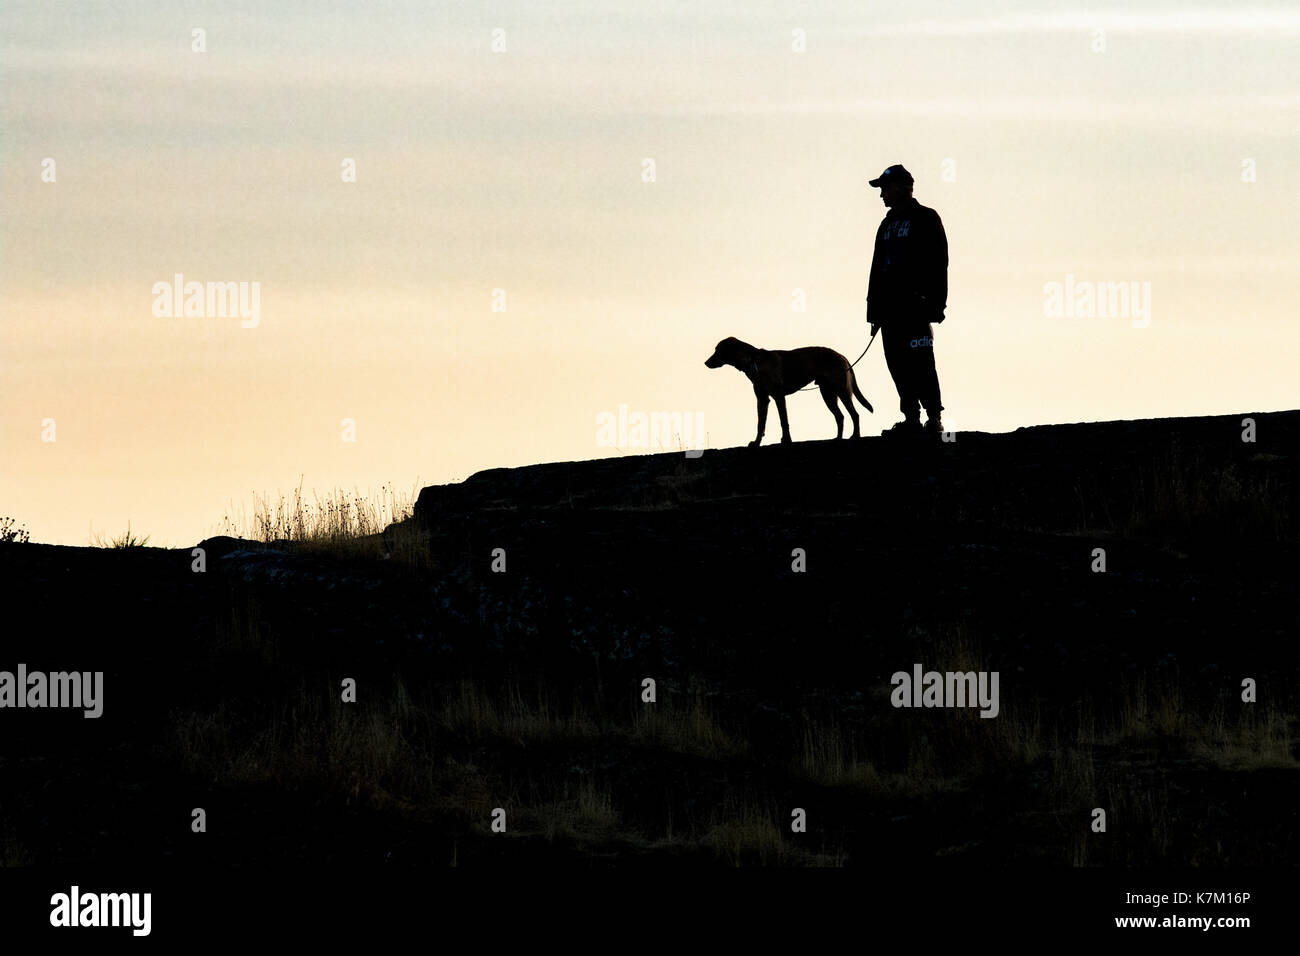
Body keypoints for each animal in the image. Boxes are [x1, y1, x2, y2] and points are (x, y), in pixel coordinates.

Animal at [702, 338, 873, 447]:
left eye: (718, 350)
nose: (706, 362)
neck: (753, 361)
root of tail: (842, 356)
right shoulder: (762, 400)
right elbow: (760, 424)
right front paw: (756, 443)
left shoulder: (778, 396)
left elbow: (784, 421)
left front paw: (786, 440)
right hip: (827, 394)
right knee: (840, 416)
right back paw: (837, 438)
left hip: (841, 390)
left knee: (854, 414)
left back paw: (855, 437)